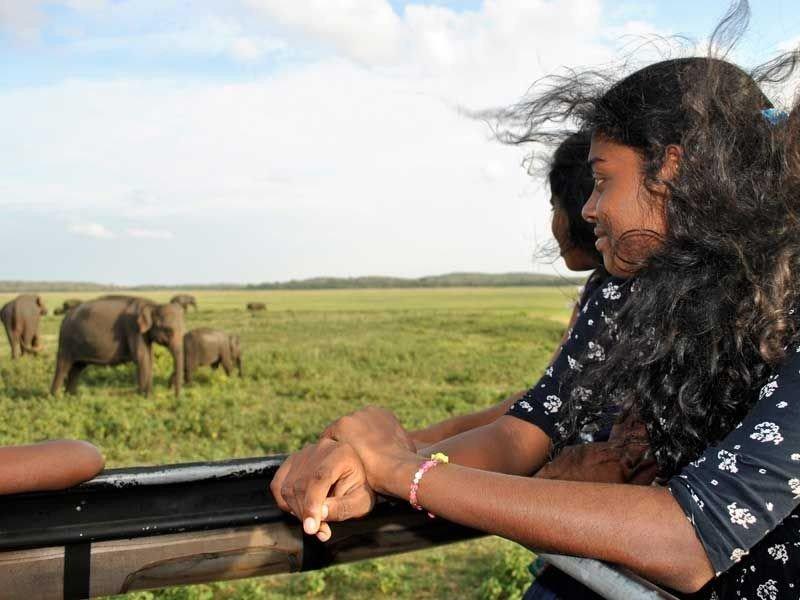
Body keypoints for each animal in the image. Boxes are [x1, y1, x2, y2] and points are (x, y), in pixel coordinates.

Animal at [50, 292, 185, 396]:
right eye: (168, 330)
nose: (175, 396)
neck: (153, 305)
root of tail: (66, 317)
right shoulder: (133, 328)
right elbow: (142, 357)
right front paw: (145, 397)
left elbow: (149, 357)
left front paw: (147, 395)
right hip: (66, 341)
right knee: (63, 366)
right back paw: (55, 397)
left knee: (77, 368)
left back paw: (71, 396)